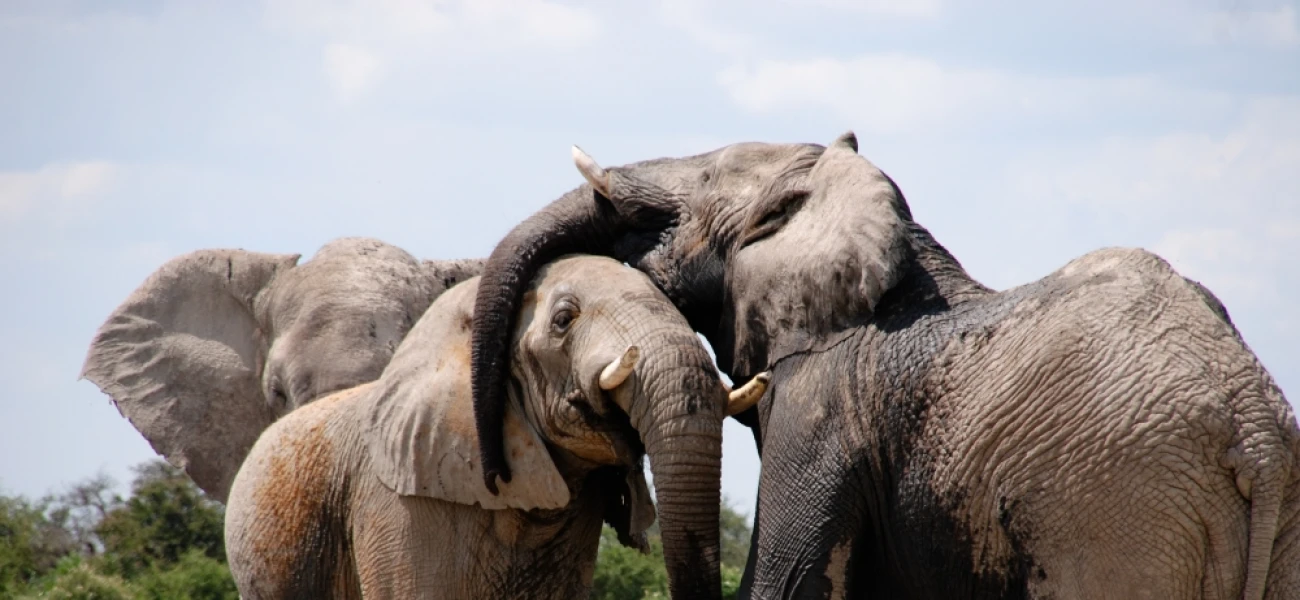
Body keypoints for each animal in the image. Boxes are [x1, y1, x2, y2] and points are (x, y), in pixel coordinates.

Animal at [462, 135, 1294, 600]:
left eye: (698, 185)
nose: (496, 471)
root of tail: (1254, 431)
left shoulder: (823, 403)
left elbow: (783, 583)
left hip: (1120, 510)